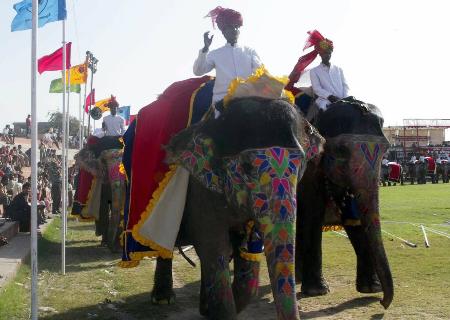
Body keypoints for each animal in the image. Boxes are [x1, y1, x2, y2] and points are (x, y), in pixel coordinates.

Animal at [150, 97, 324, 320]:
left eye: (301, 164)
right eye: (247, 167)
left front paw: (209, 310)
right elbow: (215, 248)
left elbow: (244, 256)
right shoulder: (199, 190)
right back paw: (163, 299)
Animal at [294, 100, 392, 310]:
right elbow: (313, 213)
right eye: (341, 151)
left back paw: (297, 278)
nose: (382, 303)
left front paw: (371, 288)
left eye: (386, 150)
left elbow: (354, 217)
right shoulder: (310, 170)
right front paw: (317, 291)